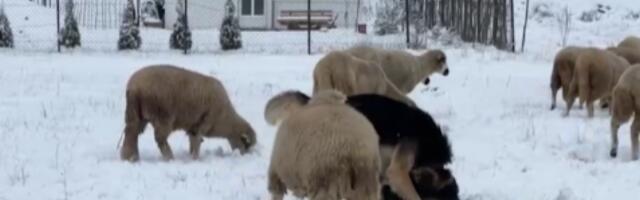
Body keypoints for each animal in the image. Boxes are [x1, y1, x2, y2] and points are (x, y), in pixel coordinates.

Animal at [121, 65, 256, 162]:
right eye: (246, 144)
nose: (246, 156)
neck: (225, 119)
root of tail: (134, 86)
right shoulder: (203, 123)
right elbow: (196, 141)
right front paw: (195, 159)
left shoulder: (193, 126)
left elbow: (193, 141)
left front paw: (192, 156)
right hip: (163, 115)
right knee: (160, 139)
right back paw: (169, 158)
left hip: (135, 113)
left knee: (131, 133)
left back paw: (130, 157)